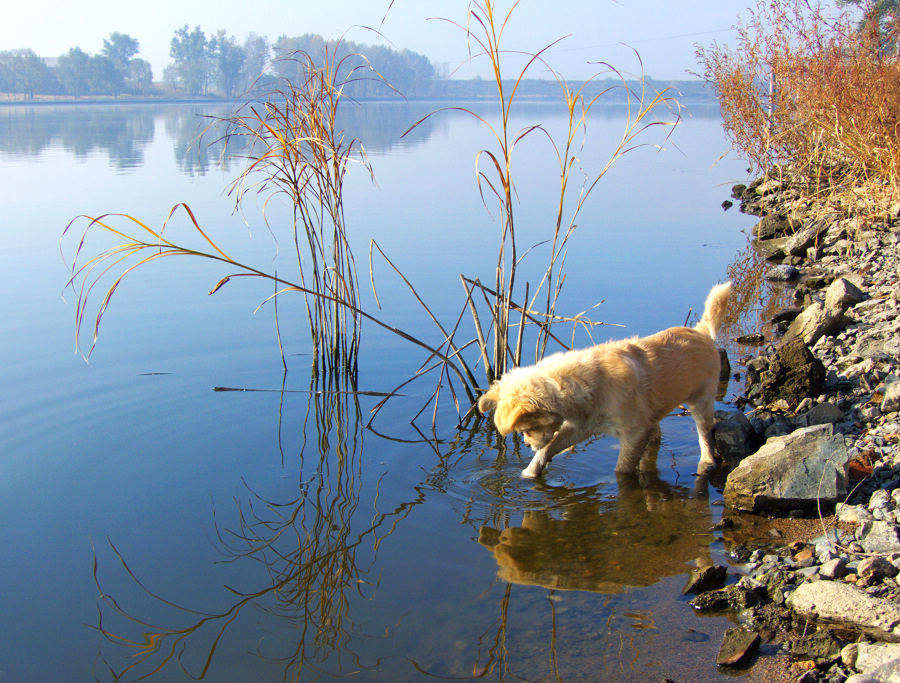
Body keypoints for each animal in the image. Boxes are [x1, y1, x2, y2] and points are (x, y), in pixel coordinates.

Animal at [478, 280, 732, 478]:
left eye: (527, 429)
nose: (527, 445)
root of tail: (700, 331)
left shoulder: (633, 432)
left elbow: (622, 468)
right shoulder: (581, 427)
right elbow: (548, 448)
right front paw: (529, 473)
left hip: (702, 400)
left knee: (705, 434)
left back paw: (707, 461)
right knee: (657, 431)